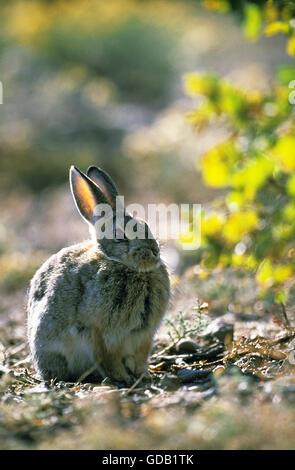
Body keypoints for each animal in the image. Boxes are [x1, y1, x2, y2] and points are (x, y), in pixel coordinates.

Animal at [28, 165, 171, 386]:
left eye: (146, 226)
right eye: (120, 236)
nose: (154, 251)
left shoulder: (143, 337)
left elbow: (140, 358)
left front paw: (143, 375)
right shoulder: (103, 334)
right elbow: (110, 358)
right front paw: (123, 377)